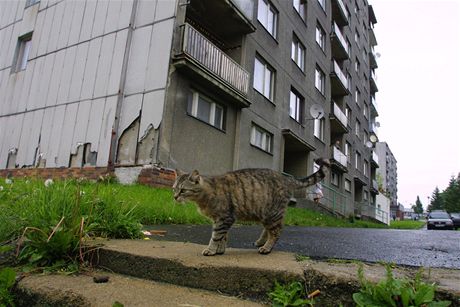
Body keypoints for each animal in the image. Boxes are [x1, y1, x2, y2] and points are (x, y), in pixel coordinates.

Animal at [173, 160, 330, 256]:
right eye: (174, 188)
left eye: (183, 190)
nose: (174, 197)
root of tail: (286, 177)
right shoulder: (220, 220)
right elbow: (223, 237)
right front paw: (220, 250)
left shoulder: (225, 218)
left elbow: (216, 236)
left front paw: (211, 250)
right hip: (266, 215)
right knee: (268, 230)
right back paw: (261, 242)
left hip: (273, 214)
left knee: (276, 232)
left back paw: (266, 247)